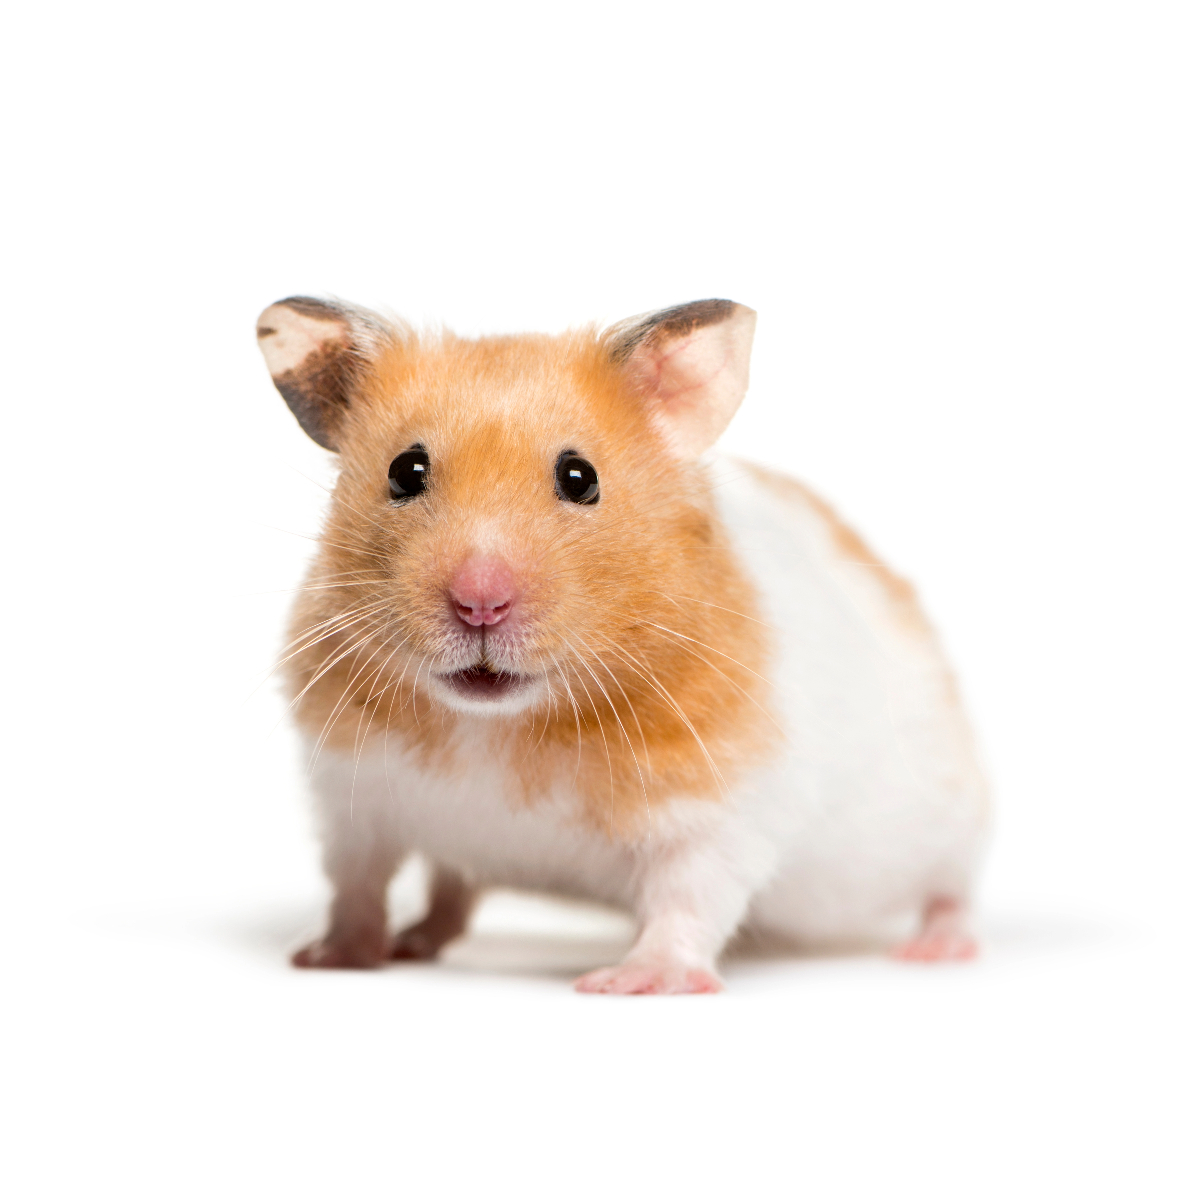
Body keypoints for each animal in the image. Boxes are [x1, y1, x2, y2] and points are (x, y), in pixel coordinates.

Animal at [255, 295, 988, 993]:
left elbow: (689, 897)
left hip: (949, 817)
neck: (493, 727)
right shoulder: (349, 796)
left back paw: (938, 949)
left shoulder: (720, 806)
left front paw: (630, 983)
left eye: (580, 478)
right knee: (452, 890)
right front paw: (327, 959)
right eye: (405, 471)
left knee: (954, 886)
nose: (479, 603)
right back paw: (414, 941)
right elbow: (356, 884)